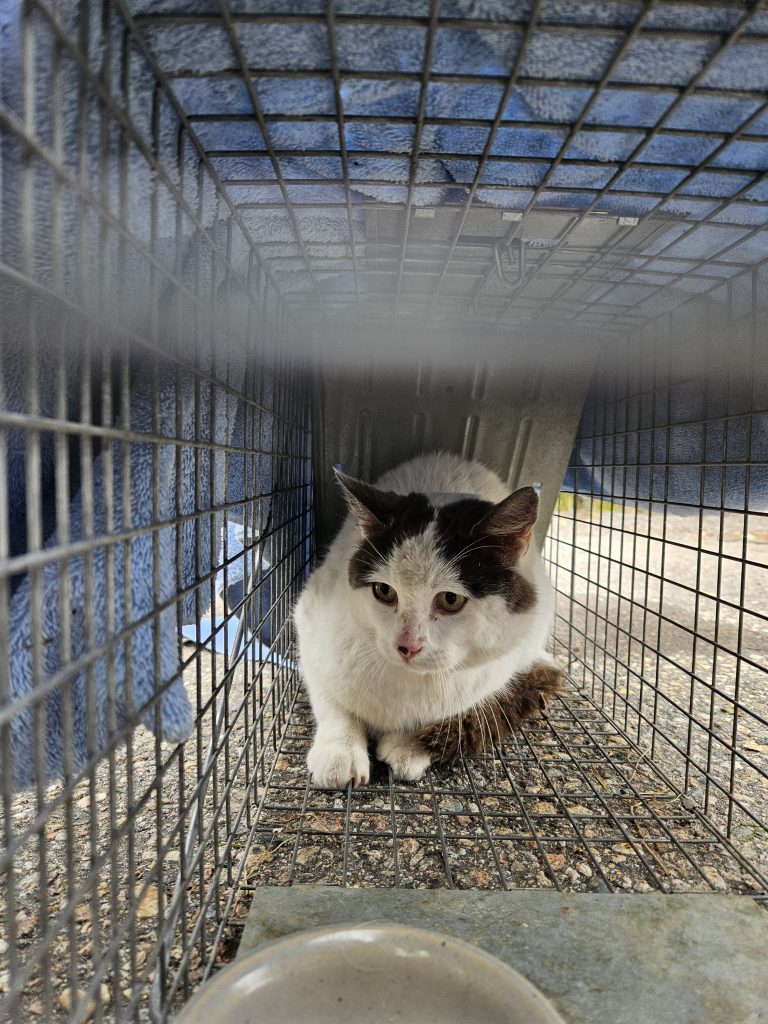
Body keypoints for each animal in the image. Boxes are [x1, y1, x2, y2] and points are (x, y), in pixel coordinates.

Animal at [293, 451, 561, 788]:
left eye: (450, 599)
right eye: (384, 591)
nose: (406, 646)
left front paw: (409, 746)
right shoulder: (309, 617)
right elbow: (331, 700)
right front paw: (339, 752)